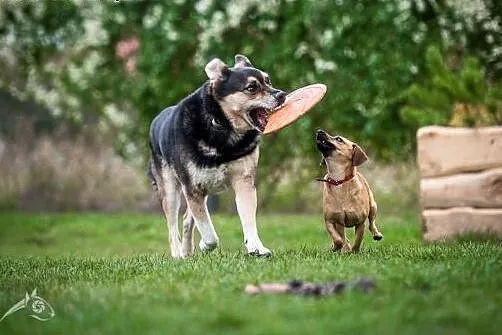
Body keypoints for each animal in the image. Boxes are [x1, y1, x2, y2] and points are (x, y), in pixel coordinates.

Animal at [148, 55, 286, 260]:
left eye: (268, 81)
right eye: (251, 88)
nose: (282, 95)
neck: (222, 125)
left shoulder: (243, 181)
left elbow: (248, 219)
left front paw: (257, 248)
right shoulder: (193, 188)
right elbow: (208, 233)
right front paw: (205, 245)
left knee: (186, 219)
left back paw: (187, 251)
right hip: (170, 189)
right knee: (172, 227)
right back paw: (178, 254)